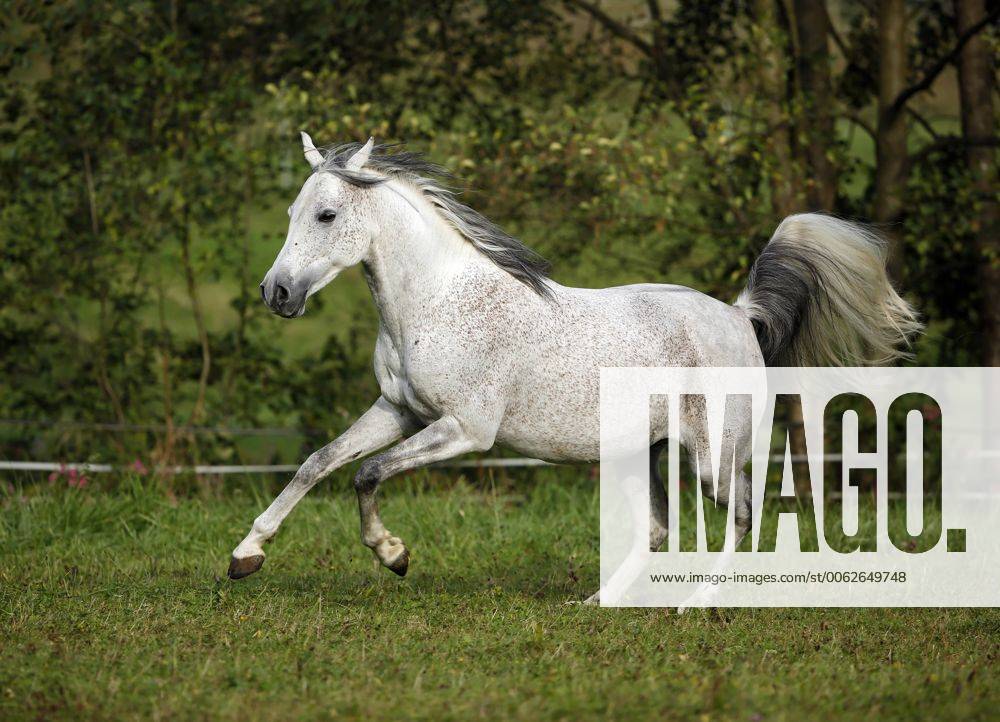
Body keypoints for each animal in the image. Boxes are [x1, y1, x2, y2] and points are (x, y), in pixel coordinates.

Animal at [228, 133, 921, 601]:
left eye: (327, 215)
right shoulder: (399, 411)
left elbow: (366, 473)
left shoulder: (464, 430)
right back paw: (596, 602)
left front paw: (393, 555)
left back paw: (699, 603)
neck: (435, 300)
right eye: (290, 213)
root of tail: (738, 316)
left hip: (712, 458)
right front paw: (245, 555)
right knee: (658, 529)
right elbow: (319, 463)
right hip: (635, 453)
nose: (277, 294)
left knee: (744, 515)